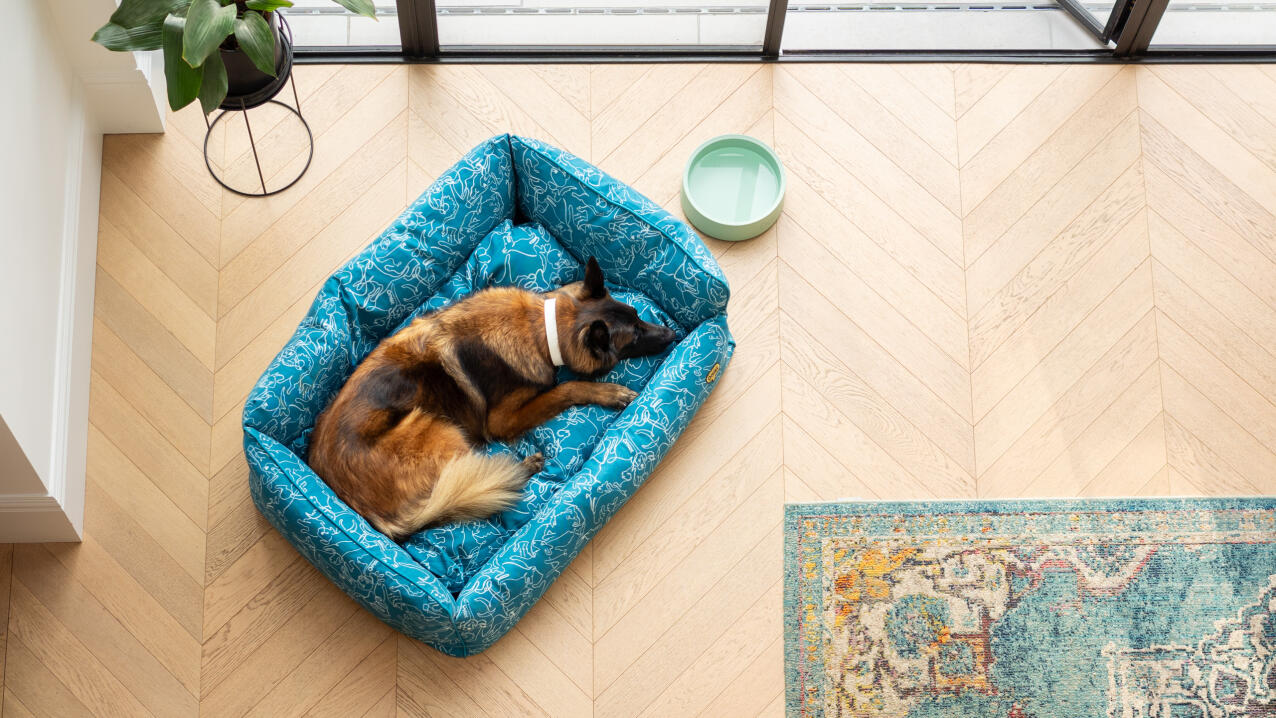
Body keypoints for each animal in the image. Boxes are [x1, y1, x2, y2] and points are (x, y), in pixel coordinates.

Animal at [311, 258, 678, 540]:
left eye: (637, 314)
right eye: (635, 336)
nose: (673, 333)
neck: (544, 327)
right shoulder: (503, 420)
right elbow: (566, 388)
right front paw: (609, 392)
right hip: (437, 429)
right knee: (473, 480)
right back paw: (521, 467)